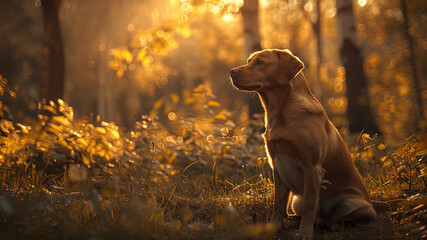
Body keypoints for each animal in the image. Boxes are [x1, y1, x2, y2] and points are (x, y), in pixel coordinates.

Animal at [231, 49, 374, 240]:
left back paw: (333, 225)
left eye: (260, 62)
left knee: (346, 218)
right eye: (249, 61)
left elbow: (309, 205)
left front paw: (305, 233)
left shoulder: (311, 167)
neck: (280, 113)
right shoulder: (277, 166)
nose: (231, 72)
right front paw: (273, 227)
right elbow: (278, 204)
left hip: (352, 202)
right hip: (295, 201)